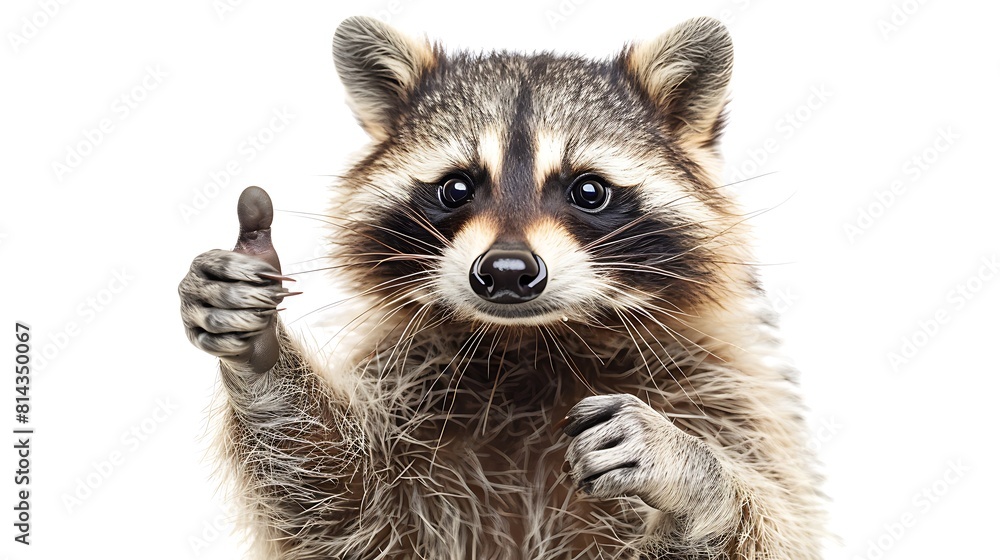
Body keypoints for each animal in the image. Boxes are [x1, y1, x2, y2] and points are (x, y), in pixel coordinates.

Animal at [178, 15, 826, 559]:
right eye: (456, 188)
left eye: (589, 191)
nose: (508, 271)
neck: (534, 344)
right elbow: (349, 511)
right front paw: (263, 356)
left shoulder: (726, 388)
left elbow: (777, 522)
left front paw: (695, 485)